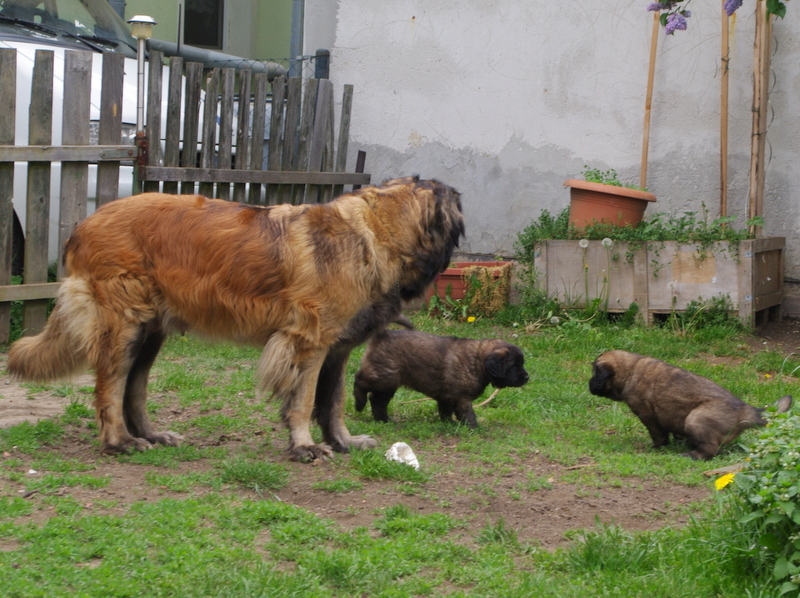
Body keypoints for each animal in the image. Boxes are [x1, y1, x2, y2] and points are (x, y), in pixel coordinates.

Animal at [6, 176, 466, 462]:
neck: (374, 231)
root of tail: (83, 224)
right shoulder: (310, 342)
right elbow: (303, 402)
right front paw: (305, 447)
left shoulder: (337, 349)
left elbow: (331, 402)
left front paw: (344, 441)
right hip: (124, 326)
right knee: (109, 387)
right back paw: (120, 442)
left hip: (151, 331)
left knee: (133, 389)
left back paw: (151, 435)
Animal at [354, 330, 528, 428]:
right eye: (514, 366)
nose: (527, 377)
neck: (478, 361)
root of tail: (381, 335)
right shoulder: (462, 398)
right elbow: (468, 414)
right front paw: (474, 428)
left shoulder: (448, 397)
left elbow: (446, 411)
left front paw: (448, 423)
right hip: (385, 377)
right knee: (360, 381)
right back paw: (359, 403)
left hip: (389, 382)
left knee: (377, 400)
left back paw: (384, 420)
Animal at [592, 350, 792, 462]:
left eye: (595, 374)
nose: (589, 384)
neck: (631, 369)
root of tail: (744, 410)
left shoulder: (648, 415)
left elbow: (658, 435)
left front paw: (657, 447)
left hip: (696, 418)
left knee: (711, 449)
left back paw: (691, 455)